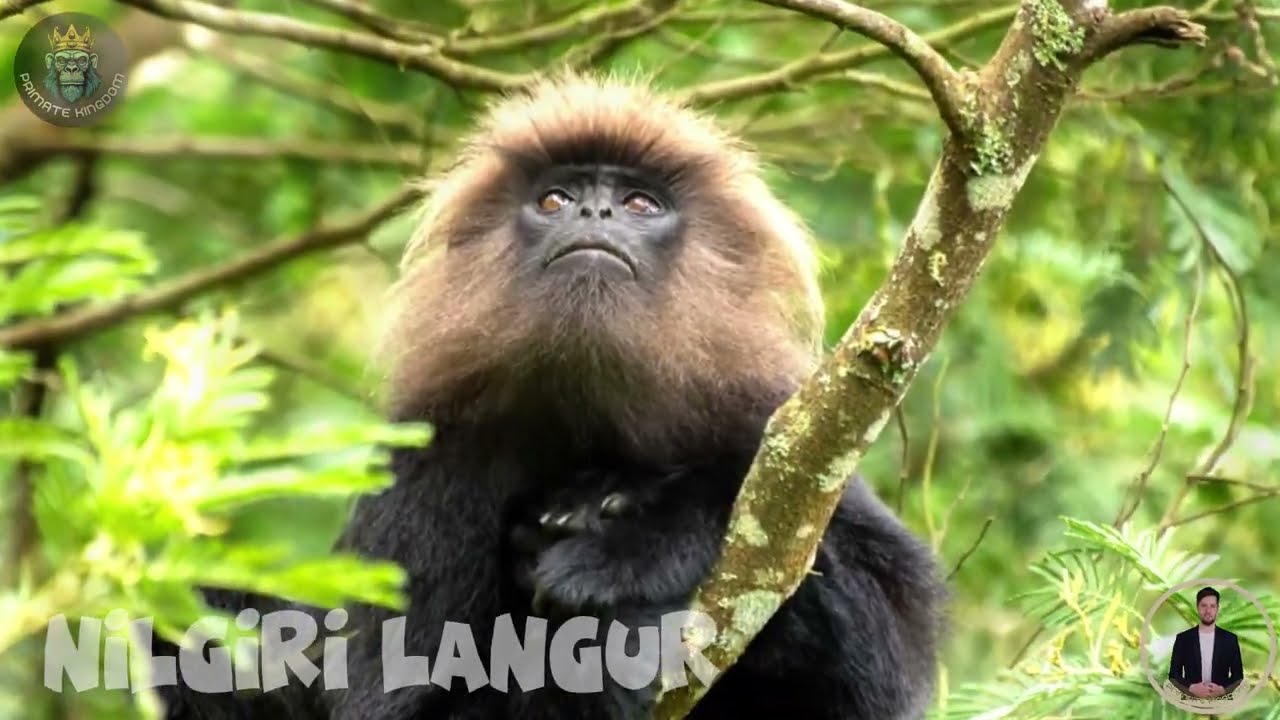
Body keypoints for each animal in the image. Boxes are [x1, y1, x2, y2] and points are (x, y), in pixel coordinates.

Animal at [157, 72, 947, 720]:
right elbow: (401, 700)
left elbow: (890, 642)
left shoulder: (780, 428)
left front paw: (629, 537)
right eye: (556, 198)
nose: (592, 215)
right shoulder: (432, 462)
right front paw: (608, 640)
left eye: (639, 203)